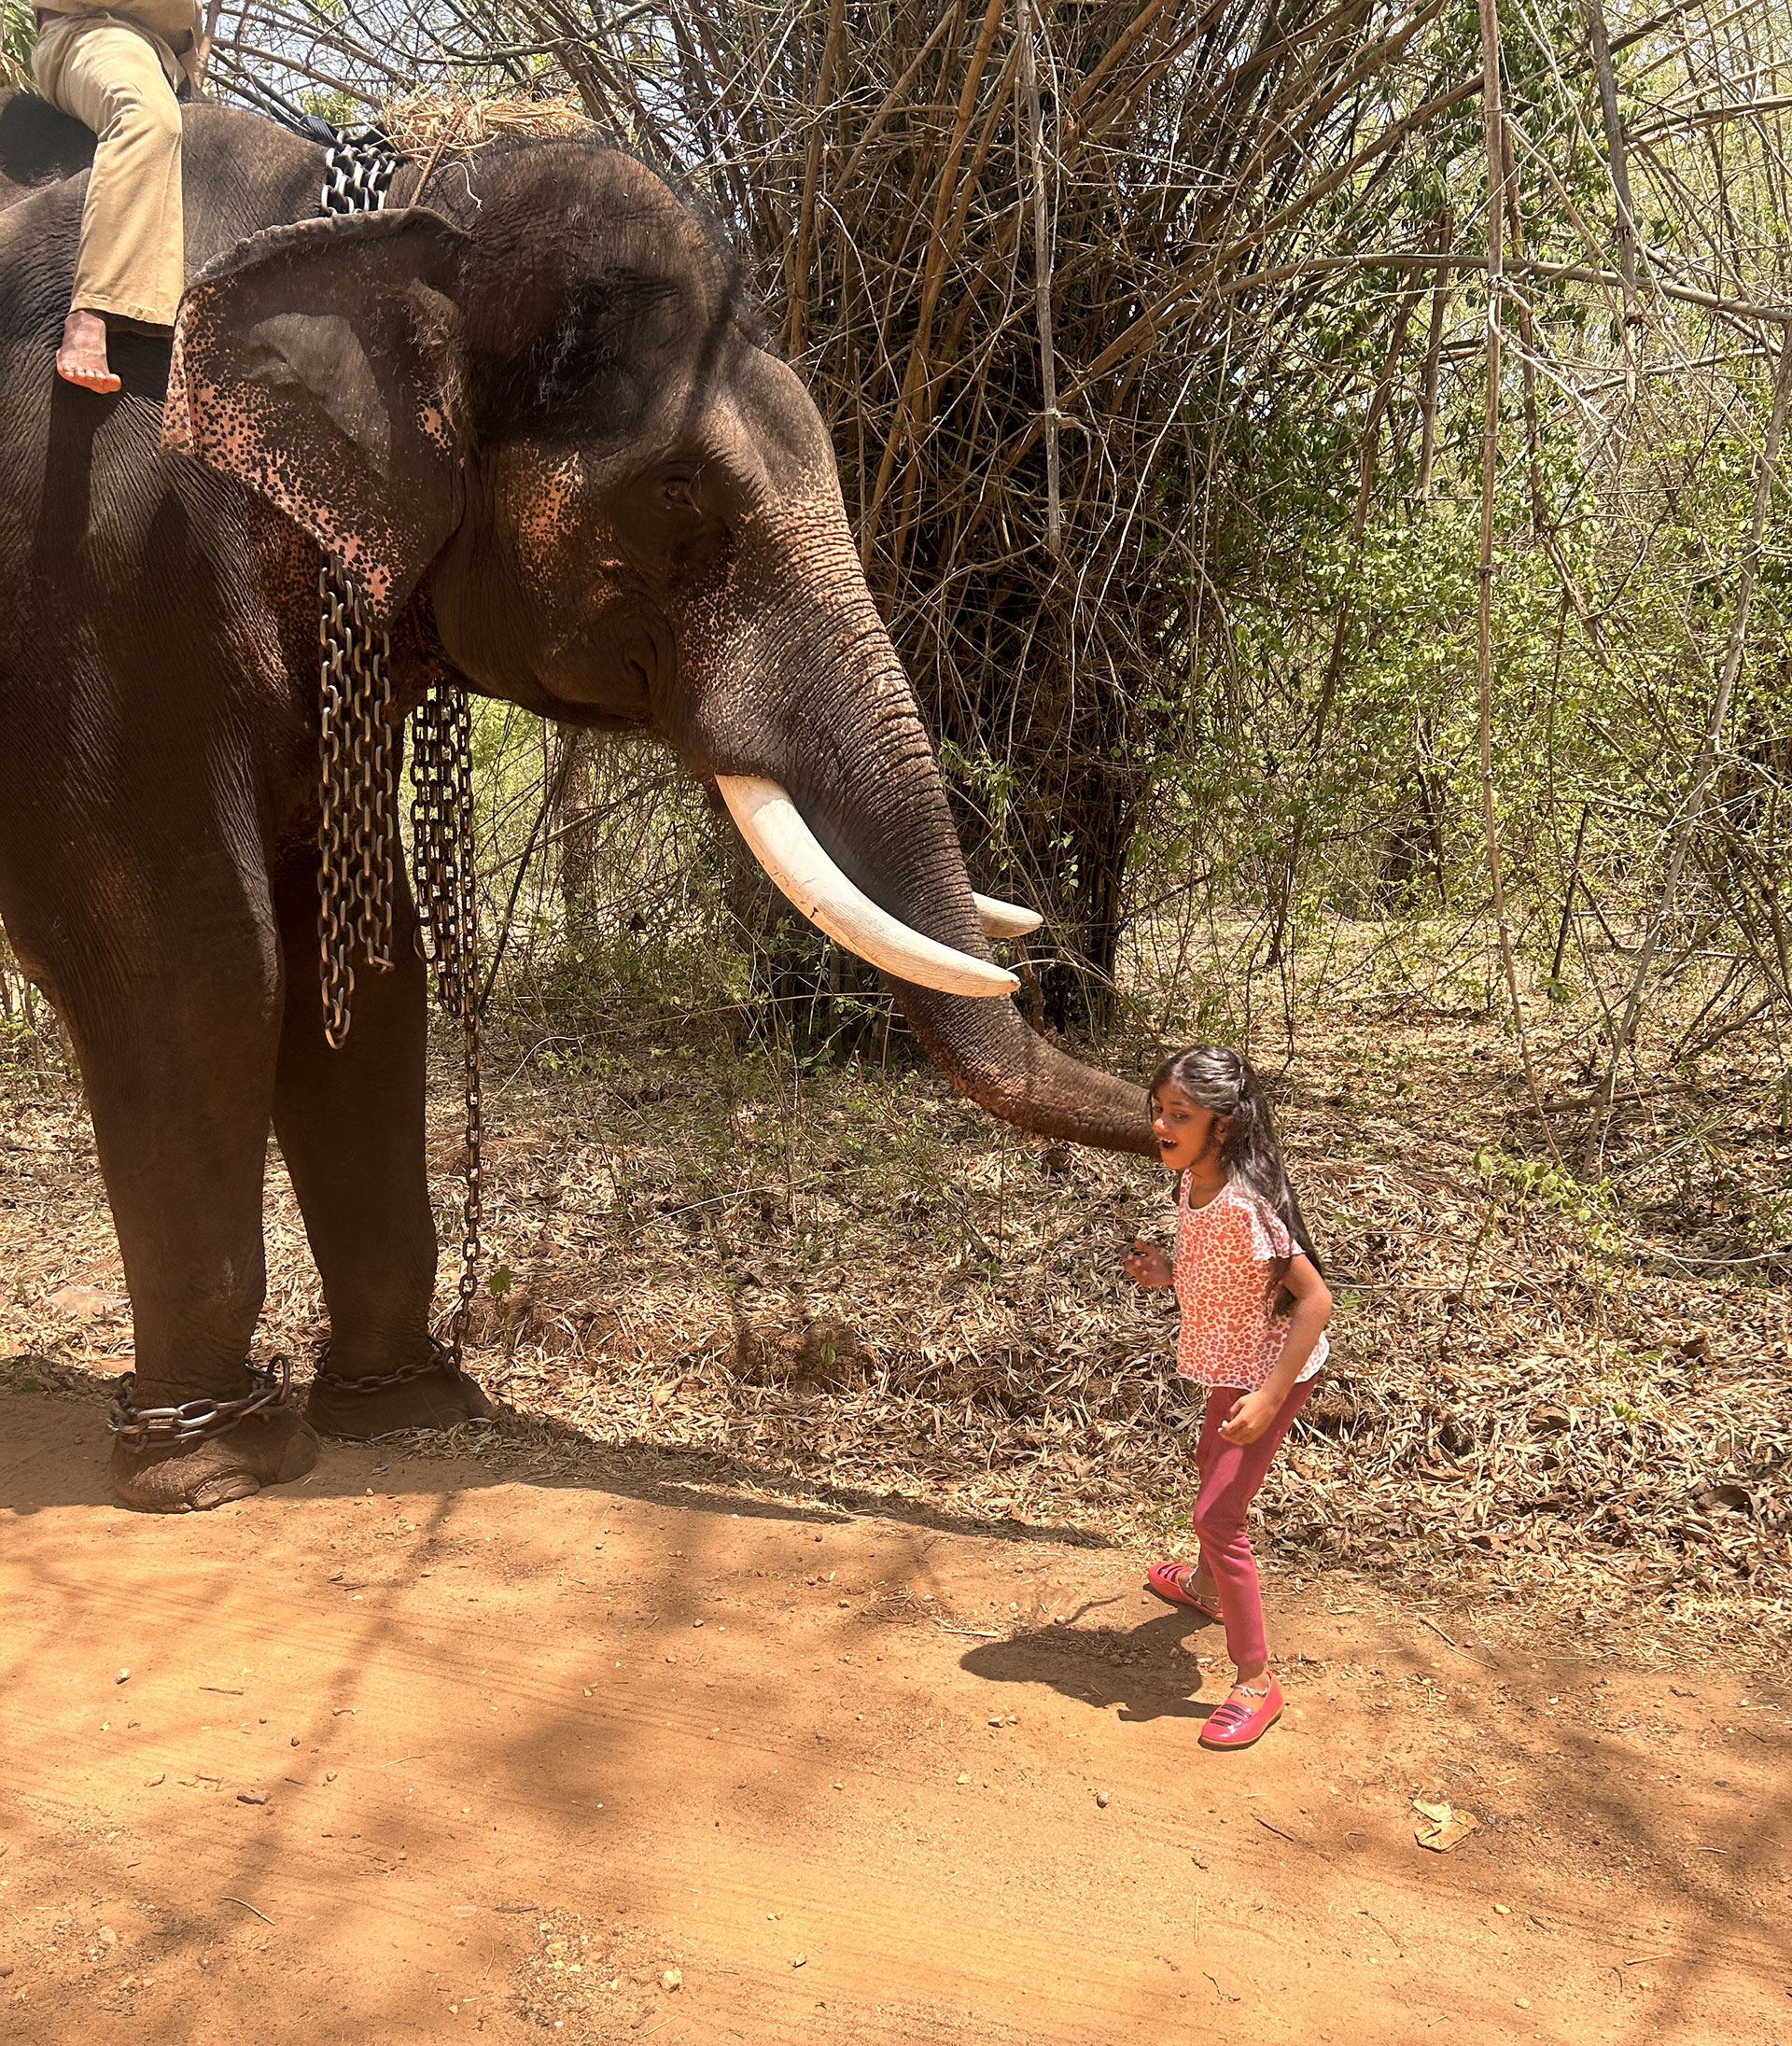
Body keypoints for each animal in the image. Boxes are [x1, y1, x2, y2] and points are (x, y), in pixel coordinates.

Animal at [0, 88, 1153, 1513]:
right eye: (679, 491)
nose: (1215, 1104)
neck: (390, 209)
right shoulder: (97, 570)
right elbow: (193, 955)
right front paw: (212, 1464)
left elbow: (362, 959)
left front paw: (409, 1405)